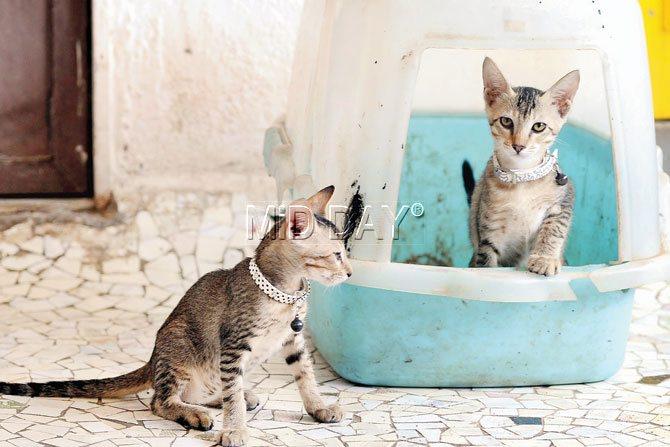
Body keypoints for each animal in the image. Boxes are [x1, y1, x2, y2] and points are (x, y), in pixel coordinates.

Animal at [0, 186, 354, 447]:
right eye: (336, 255)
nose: (350, 272)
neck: (284, 293)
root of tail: (153, 358)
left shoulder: (293, 340)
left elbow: (305, 376)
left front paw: (318, 407)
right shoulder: (233, 346)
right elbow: (233, 398)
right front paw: (236, 430)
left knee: (209, 391)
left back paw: (228, 397)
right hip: (179, 348)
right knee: (161, 400)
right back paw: (195, 414)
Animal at [464, 58, 580, 276]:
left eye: (538, 126)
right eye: (506, 121)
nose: (518, 146)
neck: (522, 177)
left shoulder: (564, 199)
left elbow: (554, 228)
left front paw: (544, 258)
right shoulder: (489, 229)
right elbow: (487, 260)